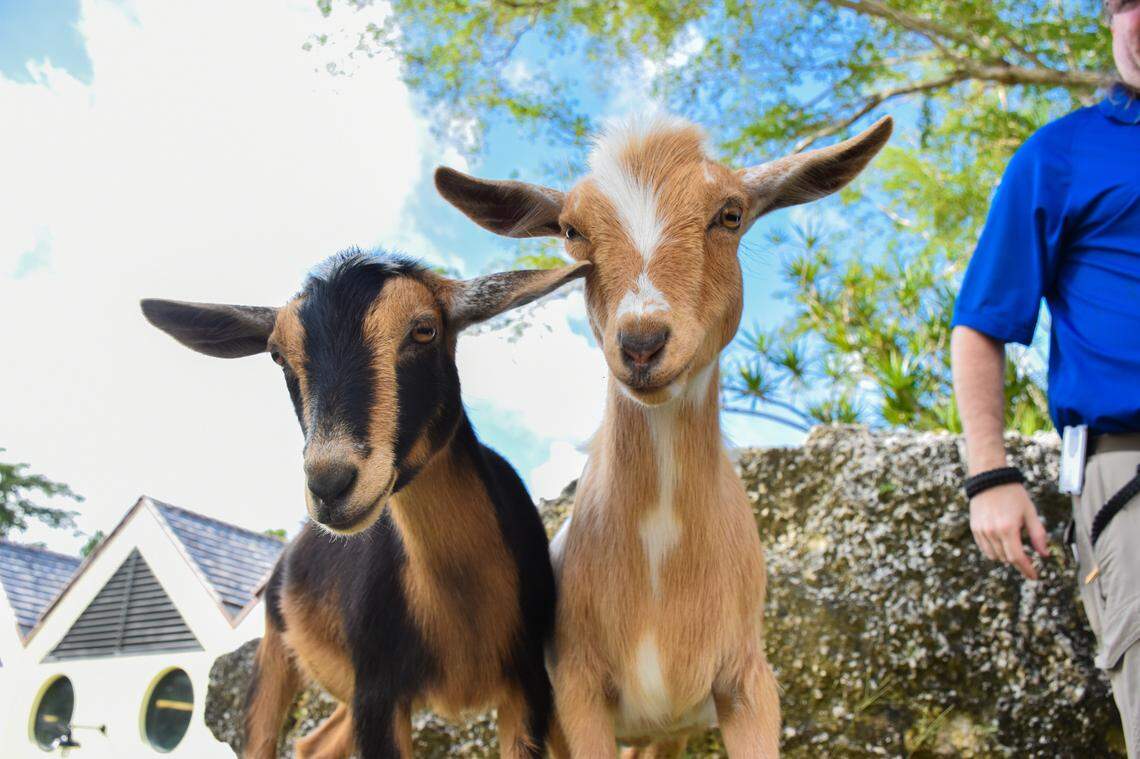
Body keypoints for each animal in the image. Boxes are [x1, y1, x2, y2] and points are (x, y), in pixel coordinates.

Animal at [141, 250, 590, 758]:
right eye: (277, 355)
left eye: (424, 329)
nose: (330, 484)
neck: (461, 610)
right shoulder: (378, 690)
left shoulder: (528, 688)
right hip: (277, 650)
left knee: (313, 744)